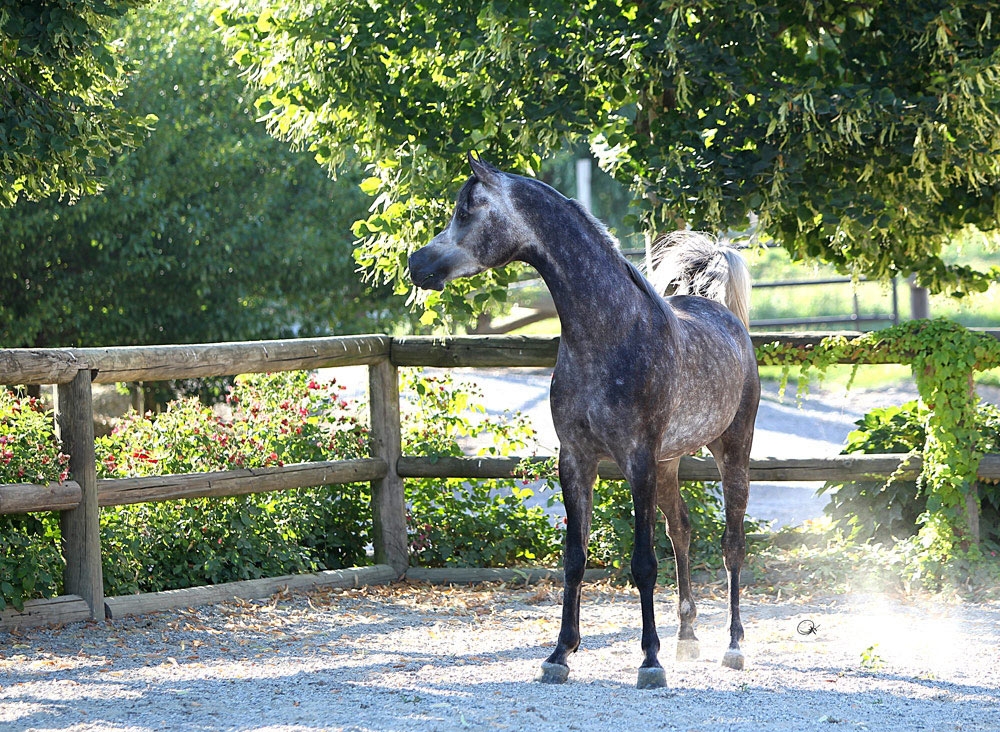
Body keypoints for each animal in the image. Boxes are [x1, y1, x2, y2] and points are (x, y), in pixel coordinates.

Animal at [408, 154, 760, 689]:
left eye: (467, 211)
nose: (416, 265)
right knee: (681, 531)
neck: (610, 333)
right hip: (671, 463)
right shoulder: (576, 459)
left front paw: (649, 661)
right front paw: (560, 654)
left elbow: (642, 563)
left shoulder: (637, 461)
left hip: (731, 451)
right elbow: (575, 557)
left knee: (731, 544)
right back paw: (687, 639)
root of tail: (724, 315)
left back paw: (734, 646)